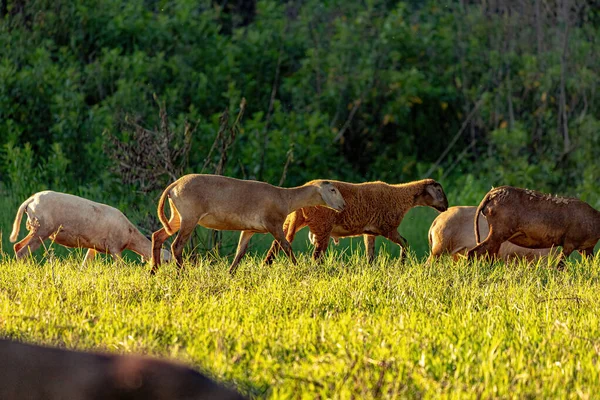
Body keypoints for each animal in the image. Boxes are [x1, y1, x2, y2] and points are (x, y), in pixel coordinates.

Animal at [8, 191, 171, 266]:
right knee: (22, 251)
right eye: (167, 261)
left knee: (17, 247)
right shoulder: (115, 247)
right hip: (42, 229)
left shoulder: (94, 247)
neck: (130, 236)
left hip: (37, 230)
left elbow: (85, 264)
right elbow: (121, 267)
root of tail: (30, 201)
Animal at [151, 175, 346, 276]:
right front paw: (298, 268)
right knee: (177, 245)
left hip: (177, 217)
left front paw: (230, 273)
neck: (285, 198)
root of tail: (174, 185)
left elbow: (240, 252)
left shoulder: (249, 229)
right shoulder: (274, 224)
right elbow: (286, 246)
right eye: (332, 190)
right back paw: (182, 273)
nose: (343, 206)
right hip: (189, 217)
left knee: (157, 236)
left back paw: (154, 271)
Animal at [264, 178, 448, 262]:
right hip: (322, 226)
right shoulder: (388, 228)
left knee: (277, 245)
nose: (446, 206)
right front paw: (401, 263)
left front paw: (371, 269)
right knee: (316, 256)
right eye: (438, 190)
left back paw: (266, 265)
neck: (402, 197)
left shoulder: (370, 232)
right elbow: (405, 243)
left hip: (291, 222)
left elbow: (370, 254)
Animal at [466, 186, 600, 268]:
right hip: (499, 232)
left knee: (489, 257)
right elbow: (559, 266)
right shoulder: (570, 242)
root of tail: (489, 195)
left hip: (498, 235)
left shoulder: (586, 248)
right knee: (472, 252)